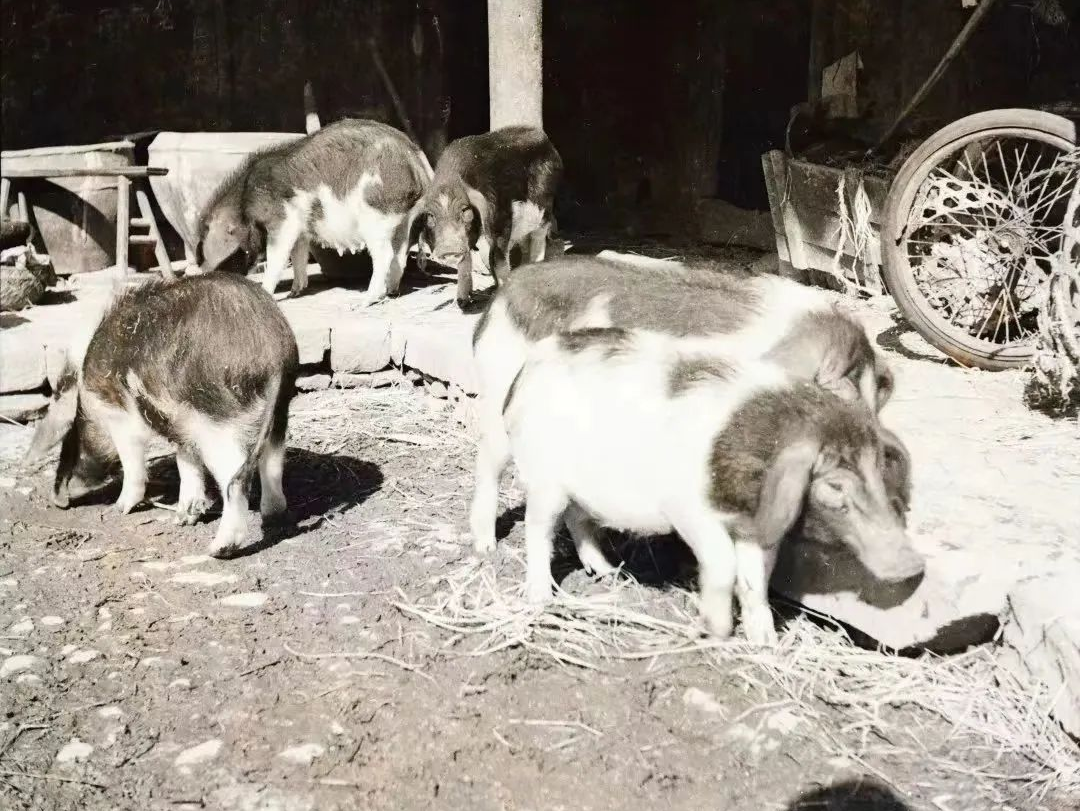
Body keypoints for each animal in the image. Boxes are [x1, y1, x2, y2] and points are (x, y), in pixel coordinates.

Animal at [24, 273, 299, 559]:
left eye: (72, 434)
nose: (58, 501)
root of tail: (272, 350)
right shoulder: (181, 425)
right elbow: (185, 462)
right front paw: (184, 517)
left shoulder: (122, 415)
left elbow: (132, 462)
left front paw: (119, 508)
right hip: (279, 412)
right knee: (273, 462)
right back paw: (273, 514)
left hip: (218, 420)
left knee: (236, 479)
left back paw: (218, 549)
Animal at [197, 118, 433, 305]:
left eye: (231, 258)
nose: (204, 271)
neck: (245, 200)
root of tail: (414, 158)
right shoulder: (301, 229)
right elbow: (298, 255)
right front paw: (294, 293)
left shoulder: (283, 219)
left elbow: (278, 257)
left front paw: (267, 292)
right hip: (403, 219)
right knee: (400, 253)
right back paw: (391, 292)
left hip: (376, 211)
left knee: (384, 254)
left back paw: (362, 302)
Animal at [413, 126, 562, 308]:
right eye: (431, 216)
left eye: (464, 210)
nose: (449, 248)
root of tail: (545, 139)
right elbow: (465, 261)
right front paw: (461, 302)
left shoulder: (501, 224)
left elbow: (497, 261)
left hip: (543, 206)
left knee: (539, 238)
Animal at [502, 328, 923, 644]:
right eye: (835, 487)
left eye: (880, 472)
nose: (914, 565)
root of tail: (528, 368)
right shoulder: (689, 509)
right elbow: (723, 565)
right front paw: (714, 631)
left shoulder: (758, 528)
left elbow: (756, 580)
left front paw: (765, 643)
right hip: (543, 477)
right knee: (539, 529)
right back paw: (540, 597)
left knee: (578, 520)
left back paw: (609, 573)